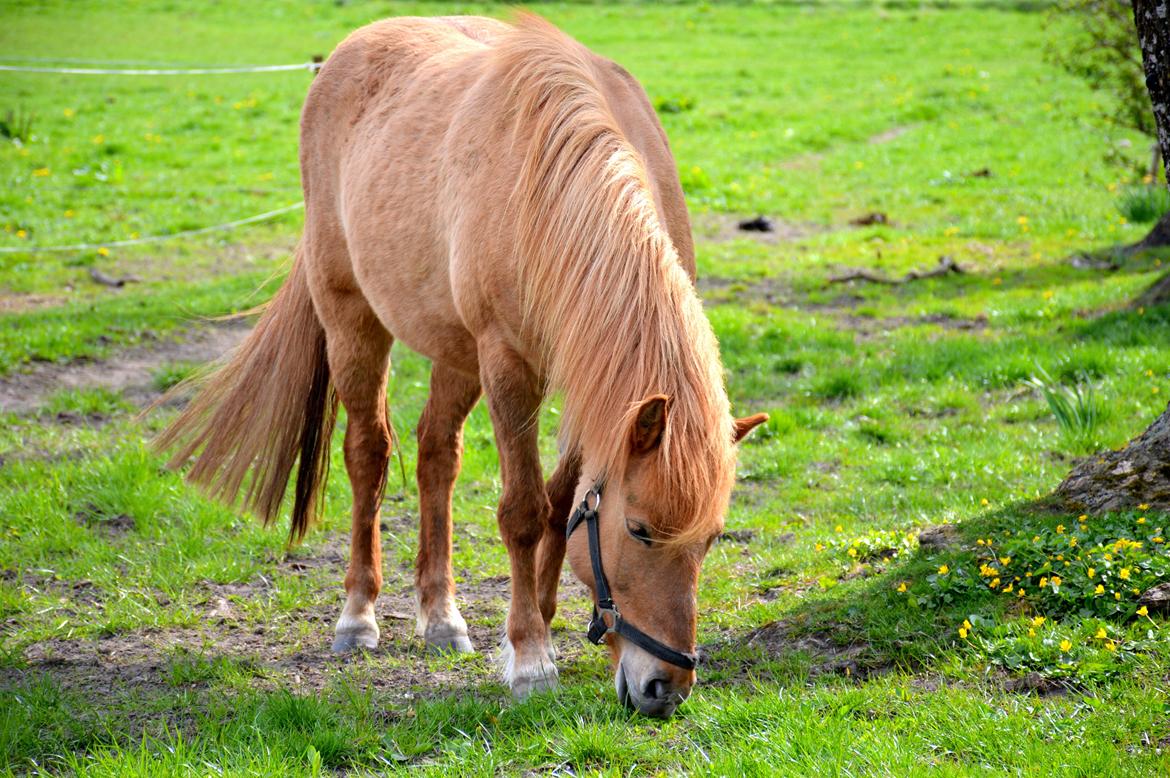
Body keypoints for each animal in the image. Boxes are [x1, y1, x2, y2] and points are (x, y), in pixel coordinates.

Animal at [160, 13, 772, 715]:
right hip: (353, 321)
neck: (549, 188)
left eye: (712, 536)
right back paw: (358, 615)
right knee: (368, 452)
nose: (664, 689)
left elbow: (560, 500)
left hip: (454, 351)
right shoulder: (508, 366)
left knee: (436, 454)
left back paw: (440, 617)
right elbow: (524, 511)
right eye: (640, 531)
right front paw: (531, 656)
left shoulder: (586, 385)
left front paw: (539, 617)